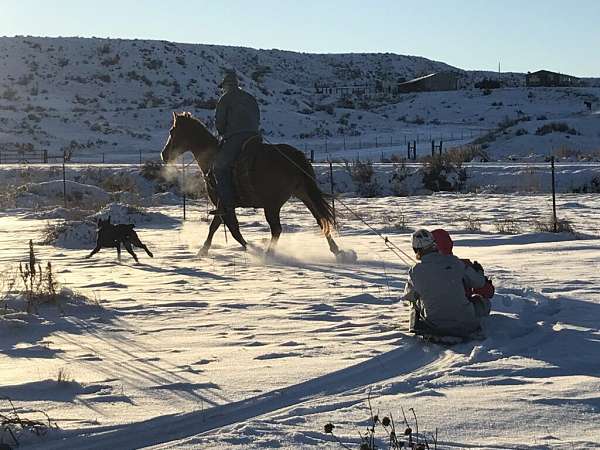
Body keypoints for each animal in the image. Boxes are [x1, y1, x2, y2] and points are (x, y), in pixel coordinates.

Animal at [162, 112, 350, 260]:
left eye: (172, 131)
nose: (164, 154)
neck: (212, 158)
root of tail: (293, 156)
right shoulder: (224, 206)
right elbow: (218, 226)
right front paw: (205, 250)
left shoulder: (223, 203)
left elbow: (230, 229)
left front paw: (250, 248)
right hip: (304, 194)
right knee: (321, 220)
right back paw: (337, 251)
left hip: (272, 205)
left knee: (277, 229)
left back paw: (269, 253)